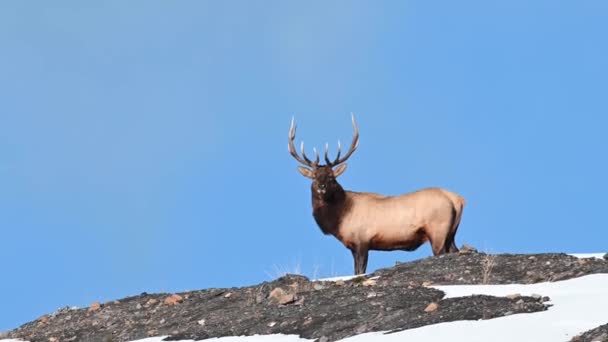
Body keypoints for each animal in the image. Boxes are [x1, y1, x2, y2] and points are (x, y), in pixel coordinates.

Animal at [288, 115, 466, 276]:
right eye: (314, 177)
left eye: (332, 177)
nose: (322, 187)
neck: (340, 218)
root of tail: (458, 200)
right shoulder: (354, 246)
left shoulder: (362, 241)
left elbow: (360, 271)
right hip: (451, 232)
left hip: (438, 230)